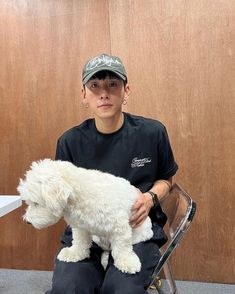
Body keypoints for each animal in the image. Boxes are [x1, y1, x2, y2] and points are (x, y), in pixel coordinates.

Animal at [17, 158, 153, 274]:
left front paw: (127, 263)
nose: (27, 221)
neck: (79, 194)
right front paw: (74, 254)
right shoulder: (81, 227)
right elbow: (80, 242)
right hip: (98, 238)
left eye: (36, 203)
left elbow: (123, 248)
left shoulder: (120, 228)